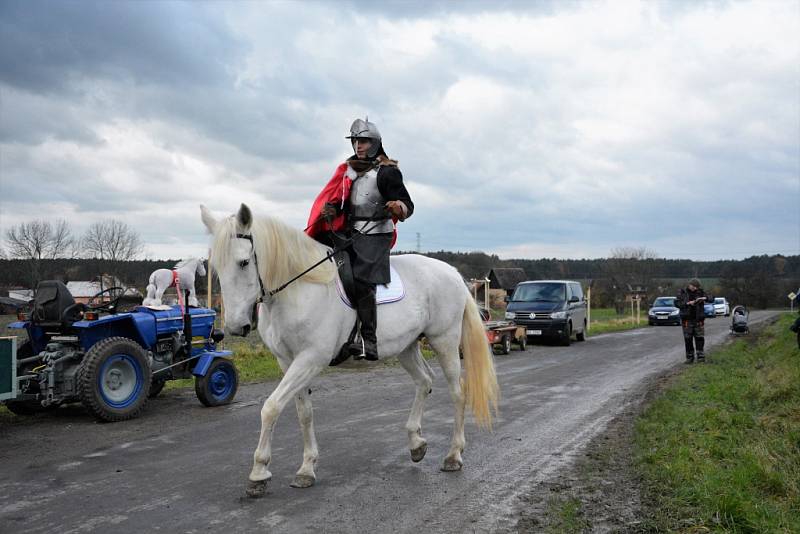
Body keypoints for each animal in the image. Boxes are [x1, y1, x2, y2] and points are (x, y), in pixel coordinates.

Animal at [203, 204, 496, 498]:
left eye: (243, 262)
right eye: (216, 267)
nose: (235, 326)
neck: (299, 288)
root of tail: (452, 273)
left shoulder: (310, 359)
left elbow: (271, 407)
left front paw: (259, 473)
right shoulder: (287, 361)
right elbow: (304, 413)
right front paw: (306, 469)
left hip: (444, 340)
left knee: (458, 392)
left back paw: (453, 455)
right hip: (407, 346)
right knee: (425, 381)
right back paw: (416, 443)